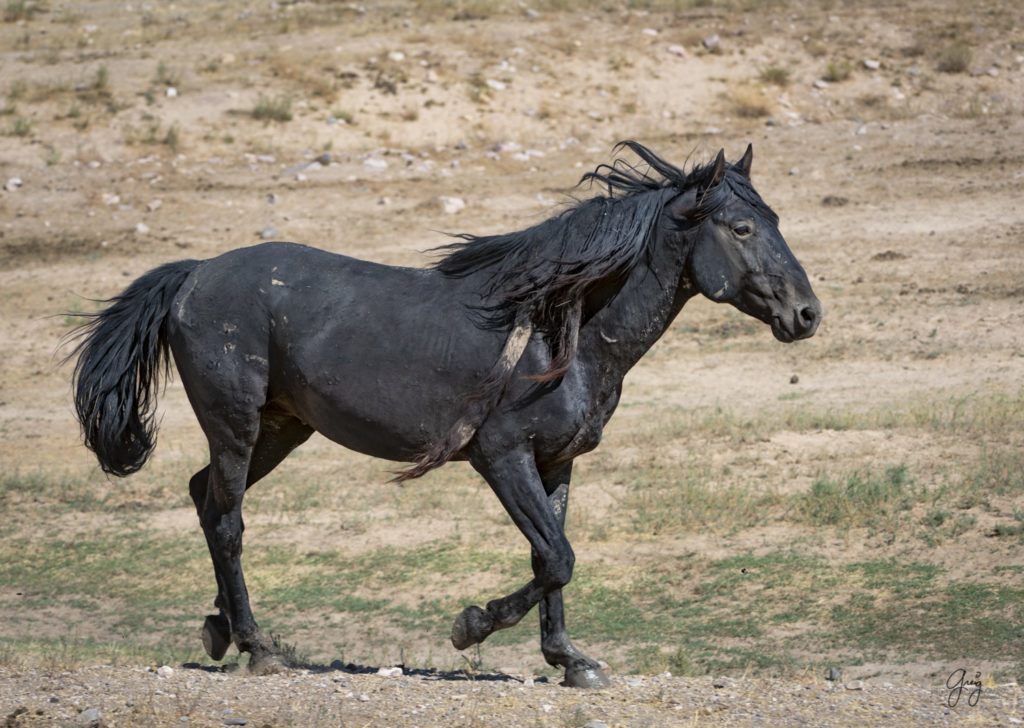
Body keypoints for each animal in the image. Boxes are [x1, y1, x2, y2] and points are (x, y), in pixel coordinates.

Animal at [70, 143, 823, 688]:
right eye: (741, 226)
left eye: (778, 221)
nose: (807, 314)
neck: (561, 332)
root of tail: (195, 275)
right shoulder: (502, 457)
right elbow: (558, 556)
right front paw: (472, 625)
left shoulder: (555, 463)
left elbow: (552, 558)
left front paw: (571, 662)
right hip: (237, 423)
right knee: (227, 521)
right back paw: (259, 647)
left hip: (281, 429)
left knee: (205, 498)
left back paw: (220, 629)